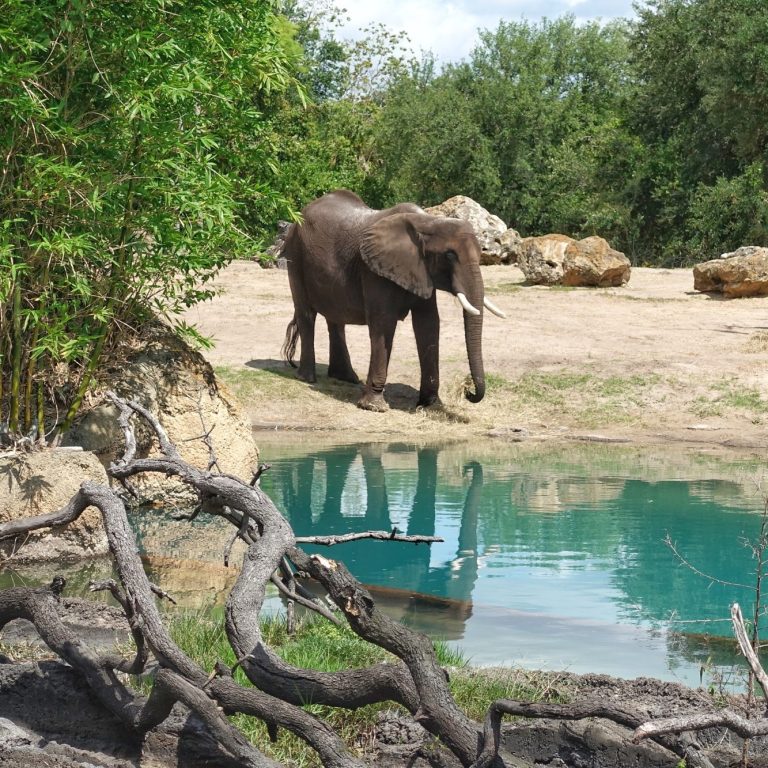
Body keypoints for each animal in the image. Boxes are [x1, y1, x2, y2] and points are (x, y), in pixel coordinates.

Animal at [281, 190, 505, 411]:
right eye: (450, 255)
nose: (468, 391)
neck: (427, 222)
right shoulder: (374, 270)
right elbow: (384, 322)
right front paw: (374, 407)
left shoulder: (421, 271)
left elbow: (428, 323)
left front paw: (429, 405)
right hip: (295, 255)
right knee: (306, 314)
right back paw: (307, 378)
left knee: (335, 318)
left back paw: (346, 378)